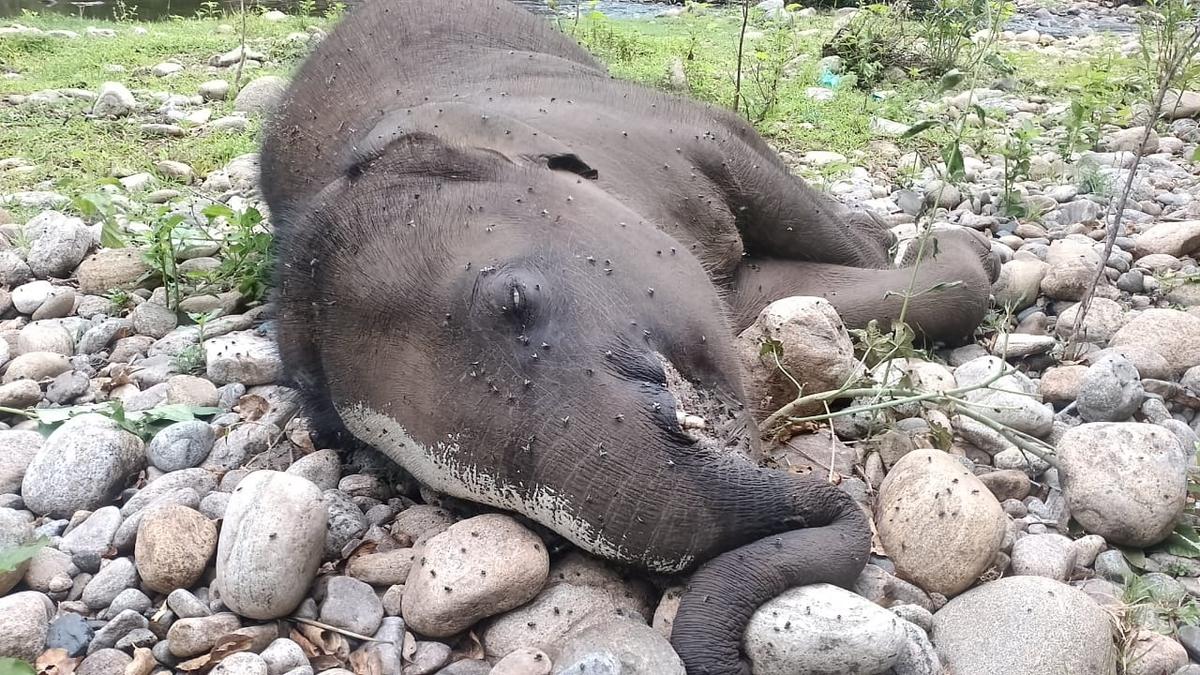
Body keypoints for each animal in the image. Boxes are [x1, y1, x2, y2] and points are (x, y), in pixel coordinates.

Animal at [259, 0, 999, 672]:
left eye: (514, 298)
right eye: (444, 496)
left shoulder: (658, 127)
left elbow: (776, 197)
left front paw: (937, 246)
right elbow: (768, 293)